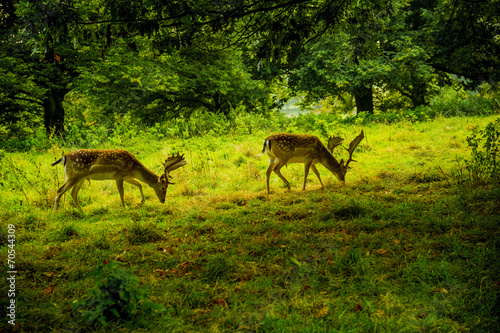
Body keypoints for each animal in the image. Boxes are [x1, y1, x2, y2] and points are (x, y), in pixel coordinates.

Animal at [51, 149, 187, 209]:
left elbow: (139, 184)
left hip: (80, 178)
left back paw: (82, 212)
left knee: (73, 193)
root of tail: (63, 157)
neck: (134, 168)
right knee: (59, 190)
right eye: (163, 187)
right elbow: (121, 192)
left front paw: (141, 202)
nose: (163, 200)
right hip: (73, 176)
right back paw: (56, 211)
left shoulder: (127, 177)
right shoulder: (119, 176)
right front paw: (124, 207)